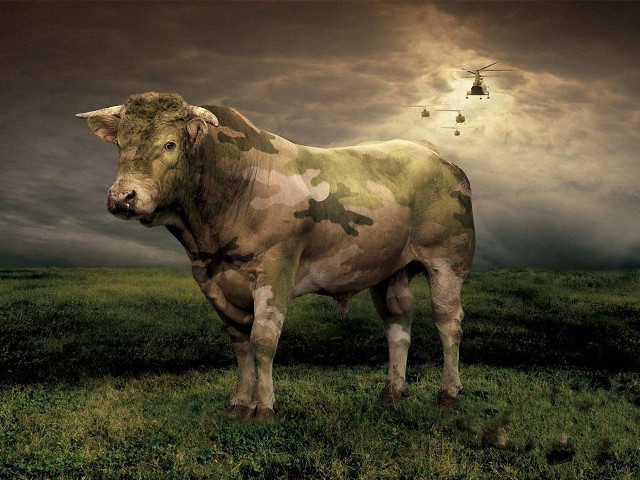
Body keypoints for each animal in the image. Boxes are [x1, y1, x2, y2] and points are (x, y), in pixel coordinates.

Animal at [77, 92, 475, 420]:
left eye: (169, 143)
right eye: (120, 144)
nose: (123, 197)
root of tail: (431, 152)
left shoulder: (276, 269)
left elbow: (263, 340)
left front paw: (263, 405)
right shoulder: (211, 278)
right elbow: (240, 345)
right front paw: (239, 402)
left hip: (446, 260)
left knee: (448, 323)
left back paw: (449, 392)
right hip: (389, 269)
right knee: (398, 324)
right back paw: (393, 390)